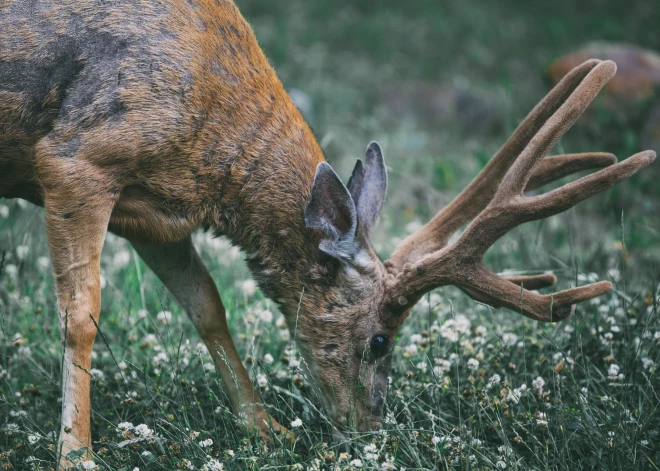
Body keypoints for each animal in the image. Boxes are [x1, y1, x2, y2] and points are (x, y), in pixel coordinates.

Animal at [0, 0, 652, 468]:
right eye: (381, 340)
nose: (369, 429)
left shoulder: (157, 215)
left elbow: (207, 305)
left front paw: (267, 430)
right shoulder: (76, 159)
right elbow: (82, 315)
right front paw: (76, 452)